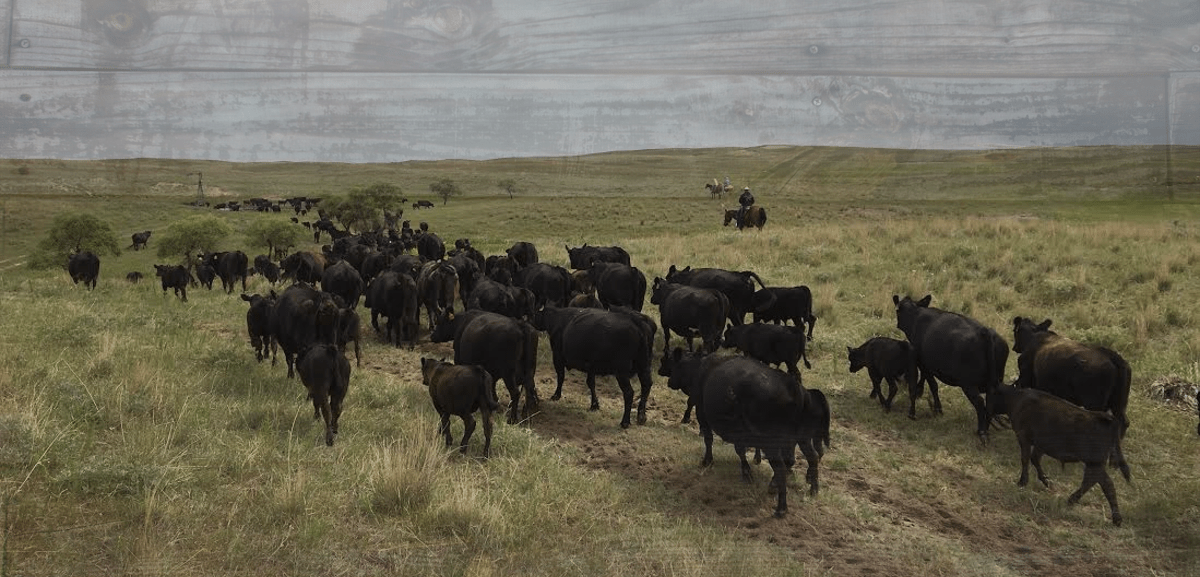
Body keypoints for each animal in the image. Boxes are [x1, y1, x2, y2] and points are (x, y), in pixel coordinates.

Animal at [662, 350, 830, 517]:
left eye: (674, 363)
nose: (669, 381)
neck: (700, 368)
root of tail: (795, 388)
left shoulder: (702, 412)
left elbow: (710, 440)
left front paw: (708, 461)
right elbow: (741, 450)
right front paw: (748, 469)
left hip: (773, 442)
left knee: (782, 468)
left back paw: (781, 507)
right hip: (802, 438)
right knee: (811, 457)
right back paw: (813, 489)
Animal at [893, 294, 1008, 442]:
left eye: (897, 310)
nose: (898, 324)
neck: (916, 315)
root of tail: (985, 331)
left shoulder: (924, 363)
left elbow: (933, 385)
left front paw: (937, 409)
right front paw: (921, 392)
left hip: (968, 384)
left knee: (979, 402)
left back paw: (981, 431)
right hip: (995, 382)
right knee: (990, 403)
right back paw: (987, 429)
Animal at [988, 383, 1130, 526]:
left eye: (993, 394)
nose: (988, 411)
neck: (1017, 398)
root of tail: (1106, 418)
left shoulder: (1024, 439)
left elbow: (1025, 459)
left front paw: (1022, 482)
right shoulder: (1041, 445)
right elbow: (1034, 459)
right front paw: (1047, 481)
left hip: (1094, 463)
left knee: (1105, 484)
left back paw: (1115, 518)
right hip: (1094, 464)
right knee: (1092, 481)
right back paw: (1074, 500)